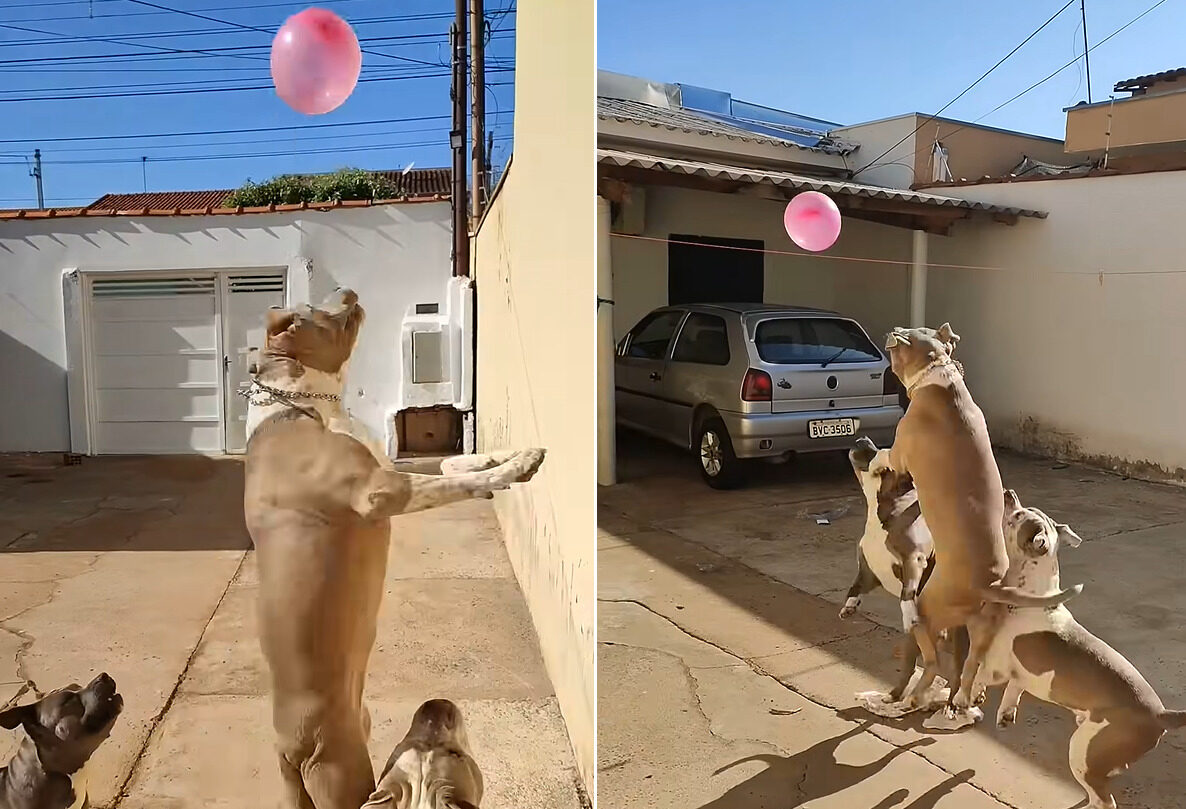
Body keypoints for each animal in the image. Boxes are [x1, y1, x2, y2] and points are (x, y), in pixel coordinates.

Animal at [246, 289, 550, 806]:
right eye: (314, 309)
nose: (347, 290)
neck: (304, 404)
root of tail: (288, 749)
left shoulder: (391, 469)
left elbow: (452, 464)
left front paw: (506, 455)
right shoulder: (381, 492)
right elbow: (457, 480)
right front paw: (513, 469)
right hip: (343, 773)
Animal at [872, 320, 1086, 725]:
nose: (894, 329)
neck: (940, 375)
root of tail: (990, 583)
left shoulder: (900, 452)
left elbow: (886, 455)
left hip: (929, 610)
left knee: (930, 658)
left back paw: (907, 696)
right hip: (980, 630)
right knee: (969, 668)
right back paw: (957, 700)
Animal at [972, 488, 1186, 801]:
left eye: (1018, 517)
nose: (1009, 493)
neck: (1035, 598)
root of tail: (1160, 715)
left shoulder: (997, 665)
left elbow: (980, 675)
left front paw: (970, 698)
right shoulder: (1019, 674)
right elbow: (1014, 690)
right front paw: (1005, 714)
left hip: (1083, 750)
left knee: (1103, 799)